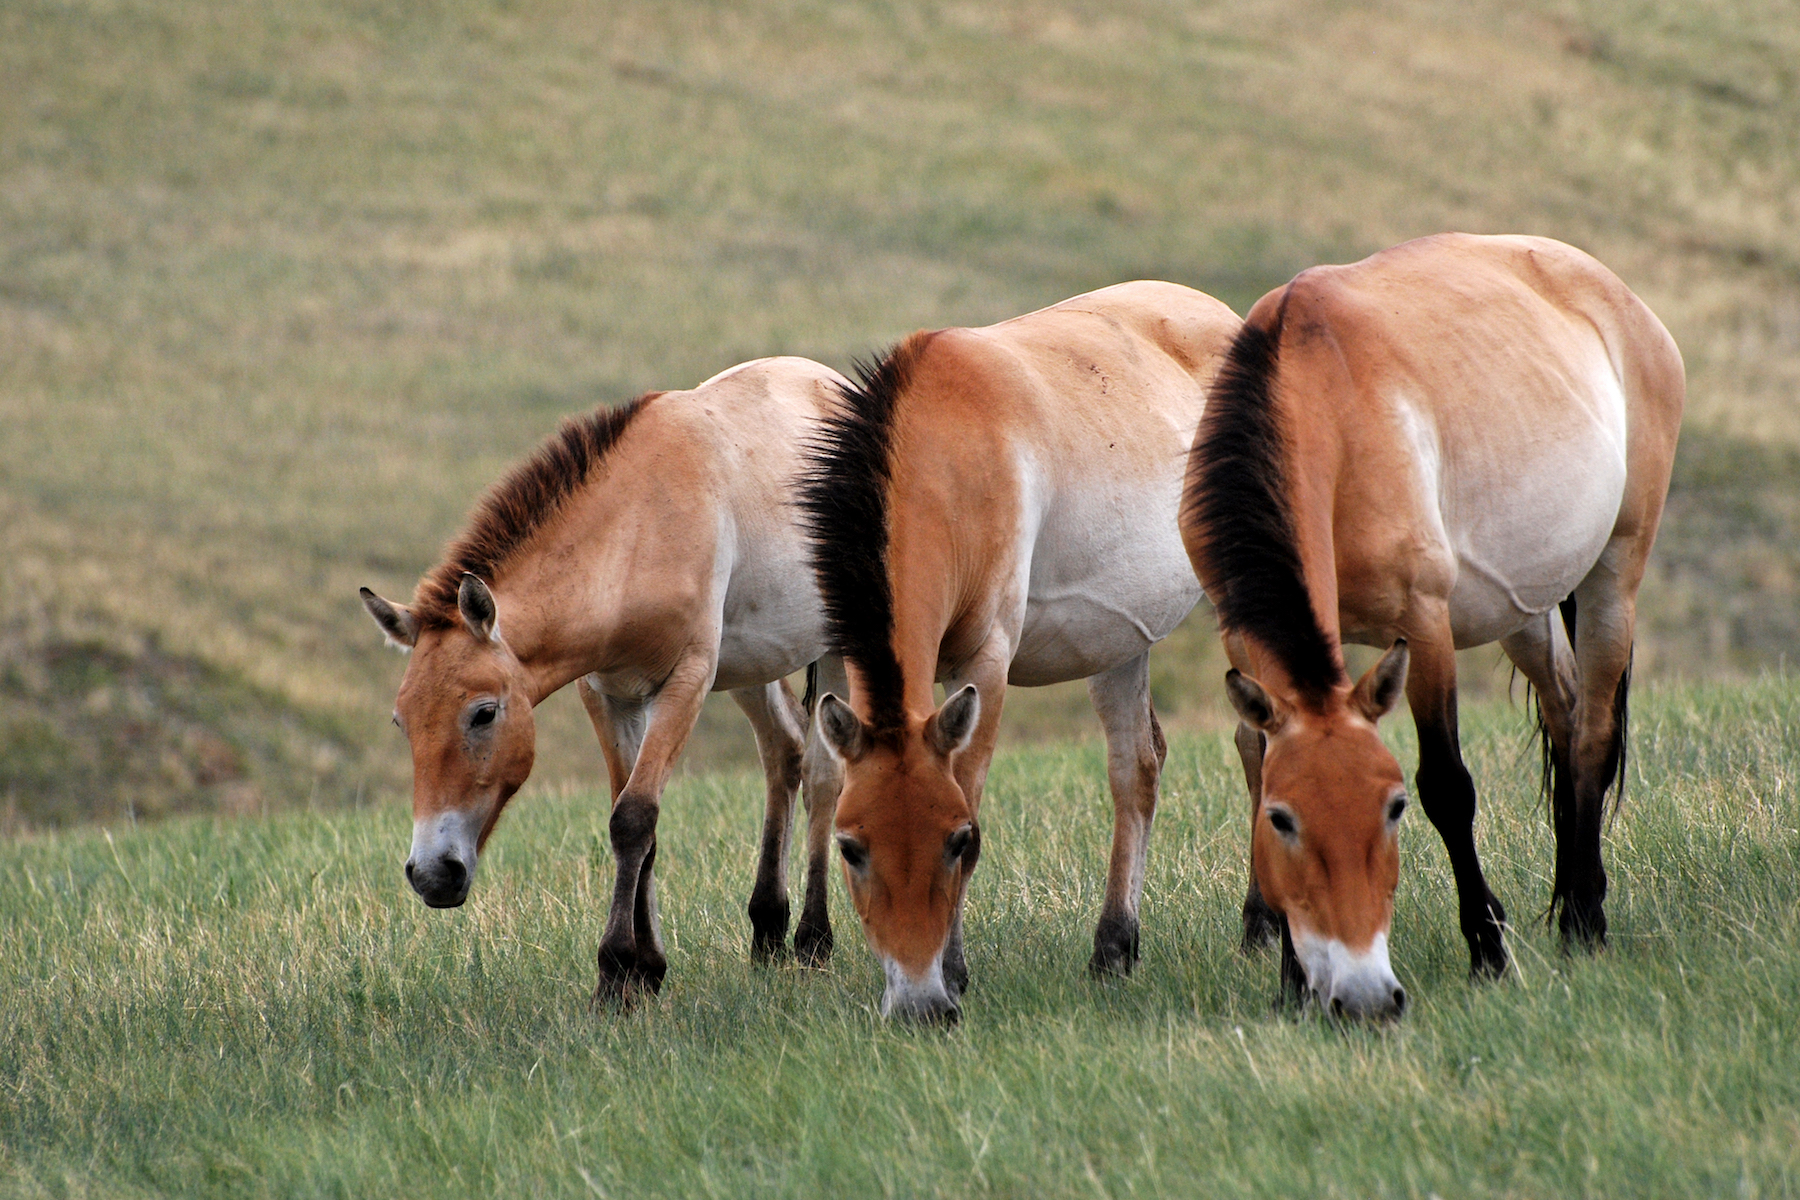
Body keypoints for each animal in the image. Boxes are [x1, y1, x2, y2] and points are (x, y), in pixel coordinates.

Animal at [361, 356, 853, 1007]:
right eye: (402, 722)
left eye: (484, 713)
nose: (431, 875)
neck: (637, 529)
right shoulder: (609, 694)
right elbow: (637, 826)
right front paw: (646, 970)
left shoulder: (684, 682)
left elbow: (634, 819)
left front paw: (616, 973)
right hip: (754, 667)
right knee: (784, 751)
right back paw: (767, 931)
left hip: (834, 648)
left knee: (824, 774)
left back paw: (813, 941)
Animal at [799, 284, 1238, 1021]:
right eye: (851, 847)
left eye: (957, 841)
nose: (918, 1007)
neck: (942, 456)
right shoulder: (837, 657)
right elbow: (822, 778)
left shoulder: (987, 664)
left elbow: (969, 785)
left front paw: (954, 970)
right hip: (1119, 645)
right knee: (1137, 772)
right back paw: (1114, 948)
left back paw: (1263, 930)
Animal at [1180, 230, 1684, 1021]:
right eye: (1284, 821)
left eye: (1393, 810)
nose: (1361, 998)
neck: (1325, 399)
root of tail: (1621, 297)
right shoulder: (1243, 644)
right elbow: (1258, 769)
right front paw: (1292, 983)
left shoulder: (1423, 624)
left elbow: (1448, 786)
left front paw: (1487, 951)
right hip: (1523, 607)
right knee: (1567, 714)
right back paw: (1569, 900)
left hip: (1615, 574)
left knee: (1594, 738)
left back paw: (1583, 921)